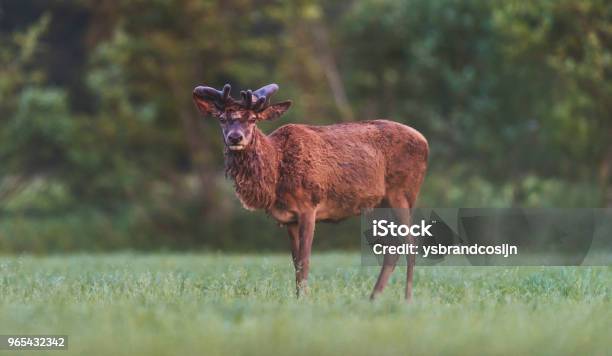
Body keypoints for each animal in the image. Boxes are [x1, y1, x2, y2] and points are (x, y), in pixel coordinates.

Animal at [194, 82, 428, 300]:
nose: (235, 137)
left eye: (253, 119)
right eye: (222, 118)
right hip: (380, 204)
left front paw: (304, 299)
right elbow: (295, 262)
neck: (276, 174)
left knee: (411, 243)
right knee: (393, 247)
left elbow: (305, 261)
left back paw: (407, 298)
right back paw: (374, 297)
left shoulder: (309, 206)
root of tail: (424, 141)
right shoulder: (288, 219)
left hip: (403, 193)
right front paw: (299, 297)